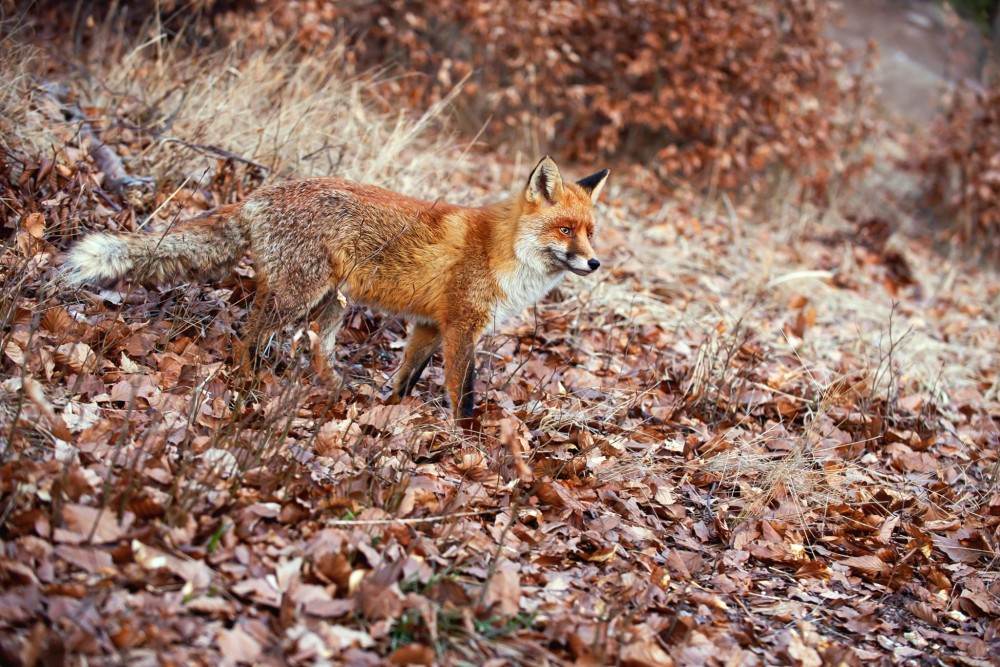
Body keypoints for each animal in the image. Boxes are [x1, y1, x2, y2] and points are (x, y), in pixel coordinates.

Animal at [64, 158, 608, 422]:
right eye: (565, 230)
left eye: (590, 232)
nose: (594, 262)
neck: (501, 252)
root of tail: (257, 196)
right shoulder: (460, 329)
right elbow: (464, 393)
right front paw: (466, 442)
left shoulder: (428, 327)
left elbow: (405, 381)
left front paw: (391, 416)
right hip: (298, 297)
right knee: (247, 339)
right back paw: (248, 385)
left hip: (330, 305)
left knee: (314, 349)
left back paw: (331, 391)